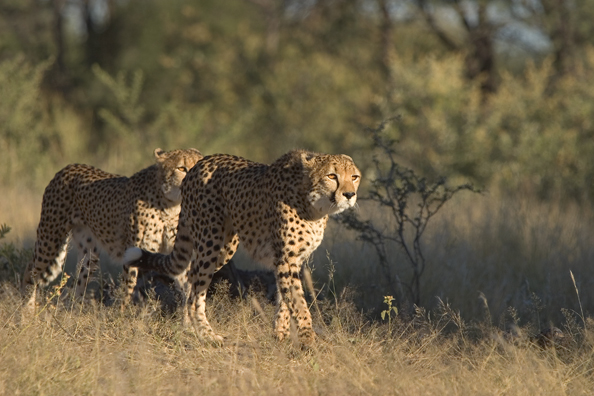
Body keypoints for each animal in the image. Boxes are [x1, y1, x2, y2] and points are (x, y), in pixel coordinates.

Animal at [21, 148, 201, 306]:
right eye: (181, 168)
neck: (170, 205)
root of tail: (68, 167)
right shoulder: (133, 253)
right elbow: (128, 290)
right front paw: (124, 317)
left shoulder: (177, 254)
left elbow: (187, 287)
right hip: (49, 238)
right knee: (30, 272)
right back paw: (27, 313)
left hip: (89, 254)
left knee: (77, 284)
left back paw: (73, 314)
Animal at [122, 148, 358, 344]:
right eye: (331, 176)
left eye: (354, 177)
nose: (349, 195)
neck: (313, 205)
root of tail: (201, 162)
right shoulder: (286, 259)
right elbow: (298, 301)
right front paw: (308, 338)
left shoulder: (293, 260)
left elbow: (285, 299)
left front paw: (280, 335)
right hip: (211, 243)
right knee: (195, 290)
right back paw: (206, 335)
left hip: (225, 247)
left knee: (190, 282)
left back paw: (190, 328)